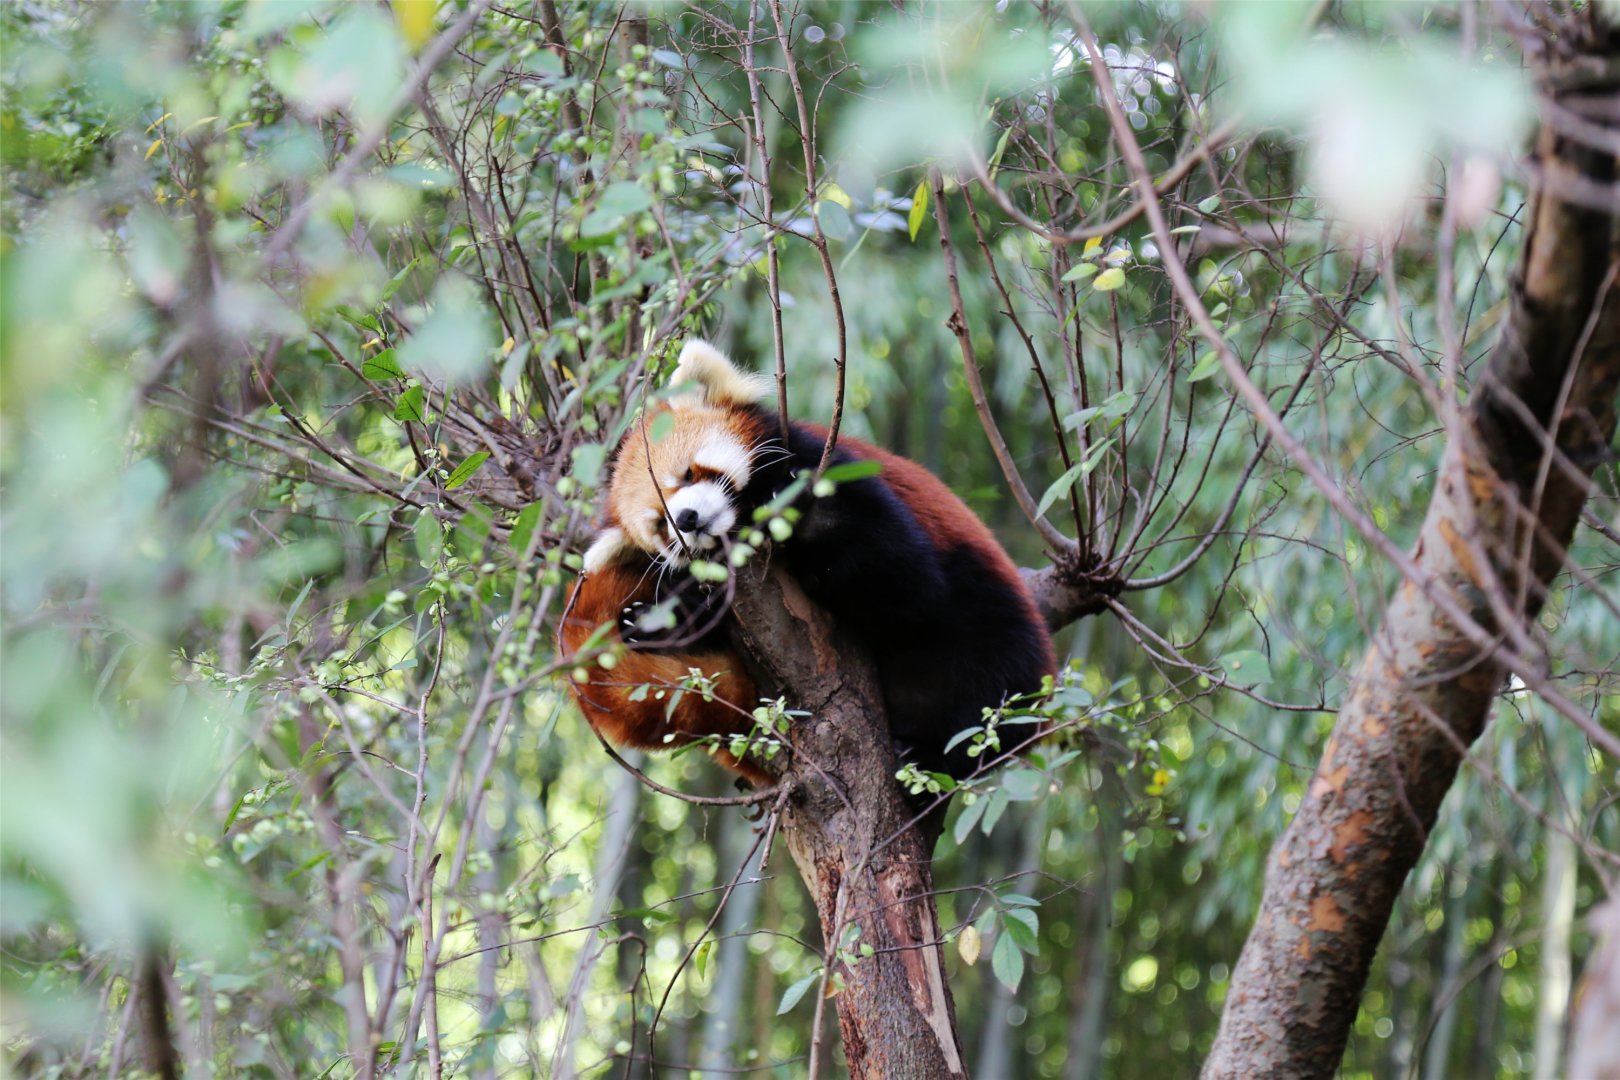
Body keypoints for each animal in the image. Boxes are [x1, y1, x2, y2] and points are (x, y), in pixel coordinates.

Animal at [559, 340, 1056, 786]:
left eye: (688, 474)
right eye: (661, 524)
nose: (686, 519)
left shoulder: (834, 468)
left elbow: (908, 581)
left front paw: (791, 508)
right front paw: (663, 617)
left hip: (989, 623)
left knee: (987, 696)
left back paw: (928, 754)